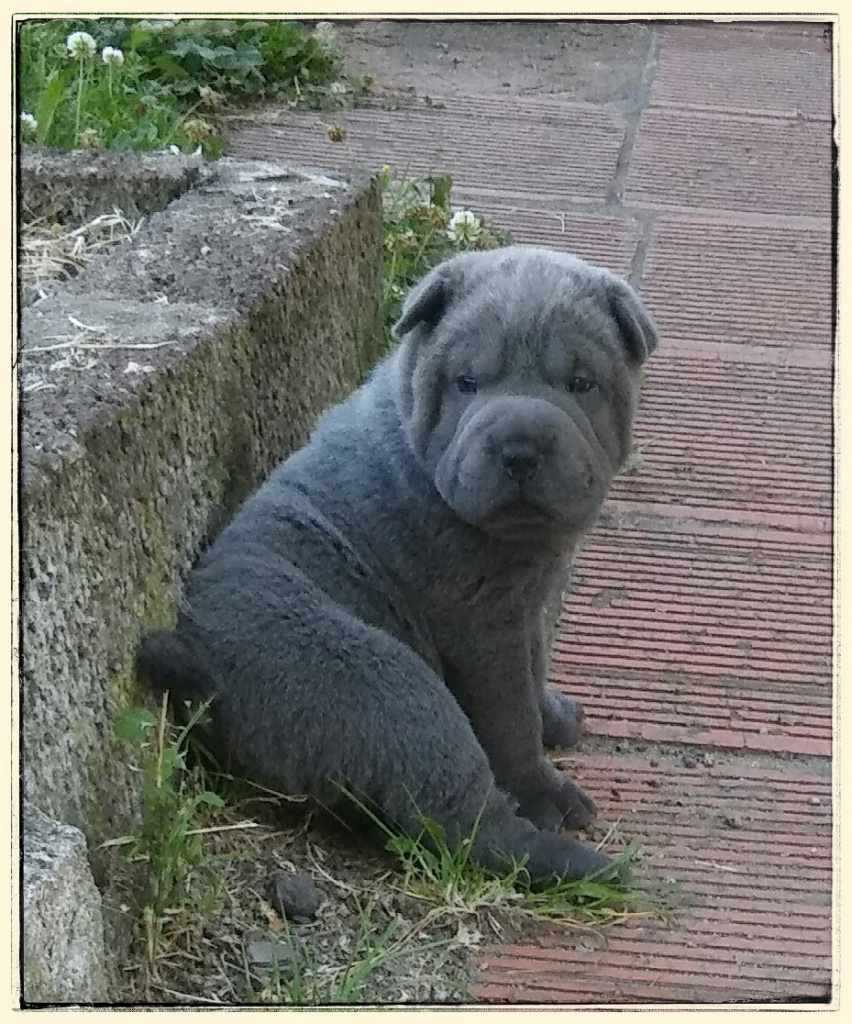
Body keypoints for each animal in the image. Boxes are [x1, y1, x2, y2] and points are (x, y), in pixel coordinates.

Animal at [141, 243, 659, 884]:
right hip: (384, 683)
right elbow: (510, 719)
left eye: (580, 383)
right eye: (466, 383)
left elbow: (535, 665)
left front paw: (554, 715)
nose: (519, 448)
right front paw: (544, 787)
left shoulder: (523, 604)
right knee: (465, 821)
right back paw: (587, 865)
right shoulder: (481, 628)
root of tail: (196, 661)